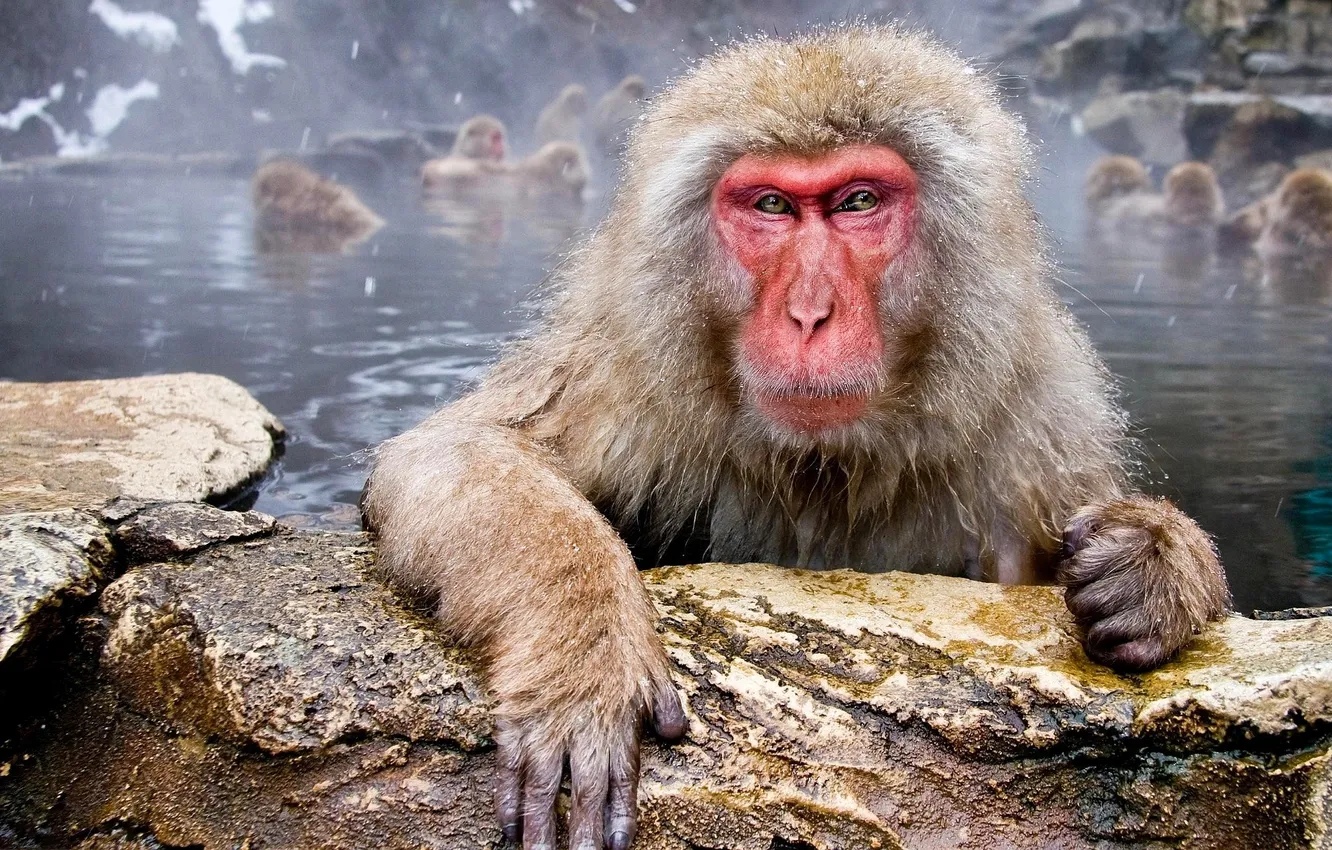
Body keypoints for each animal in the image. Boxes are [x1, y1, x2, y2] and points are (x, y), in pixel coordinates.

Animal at [362, 27, 1231, 850]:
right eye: (774, 207)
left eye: (857, 201)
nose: (810, 312)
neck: (828, 464)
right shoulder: (629, 372)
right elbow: (457, 450)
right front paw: (585, 658)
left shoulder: (1036, 428)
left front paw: (1154, 562)